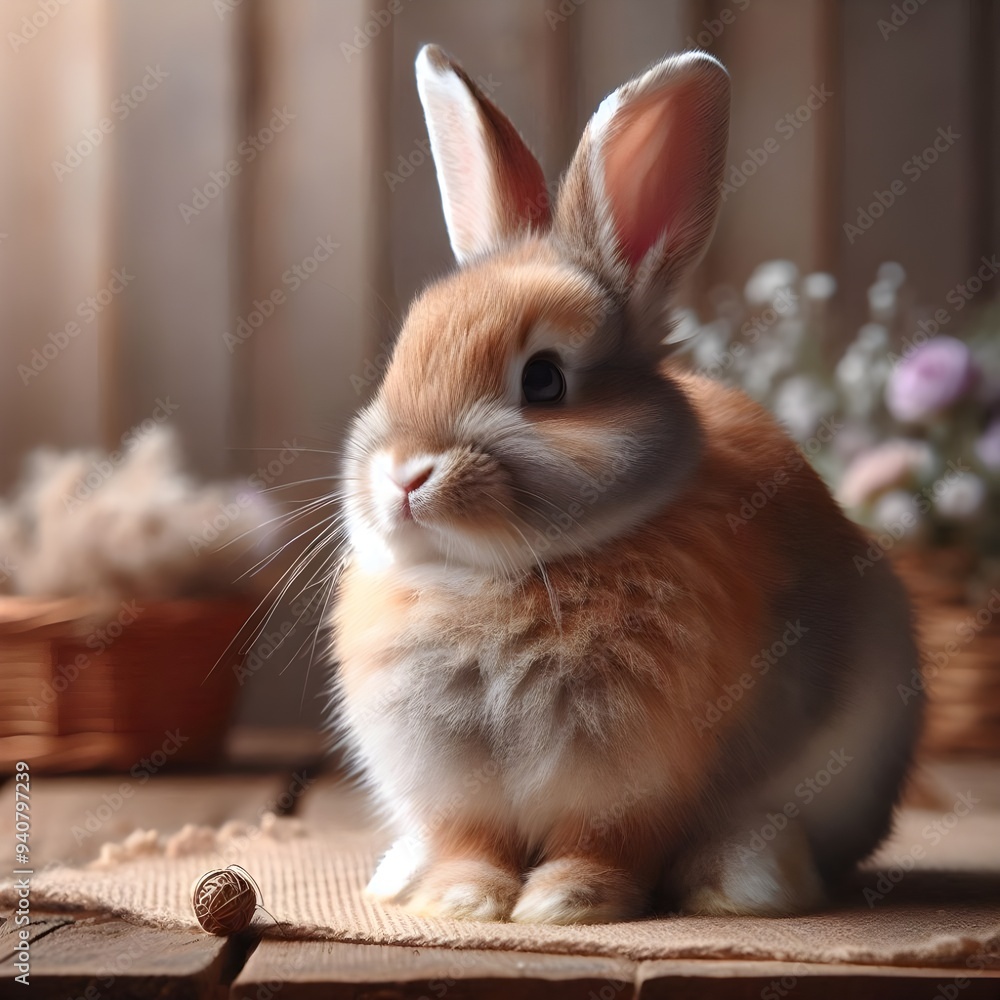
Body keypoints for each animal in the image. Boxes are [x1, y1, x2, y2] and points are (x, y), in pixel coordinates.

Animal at [330, 45, 923, 924]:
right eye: (401, 356)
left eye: (543, 380)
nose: (405, 475)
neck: (499, 576)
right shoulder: (452, 788)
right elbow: (471, 843)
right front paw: (459, 902)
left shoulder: (636, 780)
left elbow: (606, 845)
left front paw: (566, 904)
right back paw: (400, 874)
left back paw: (741, 883)